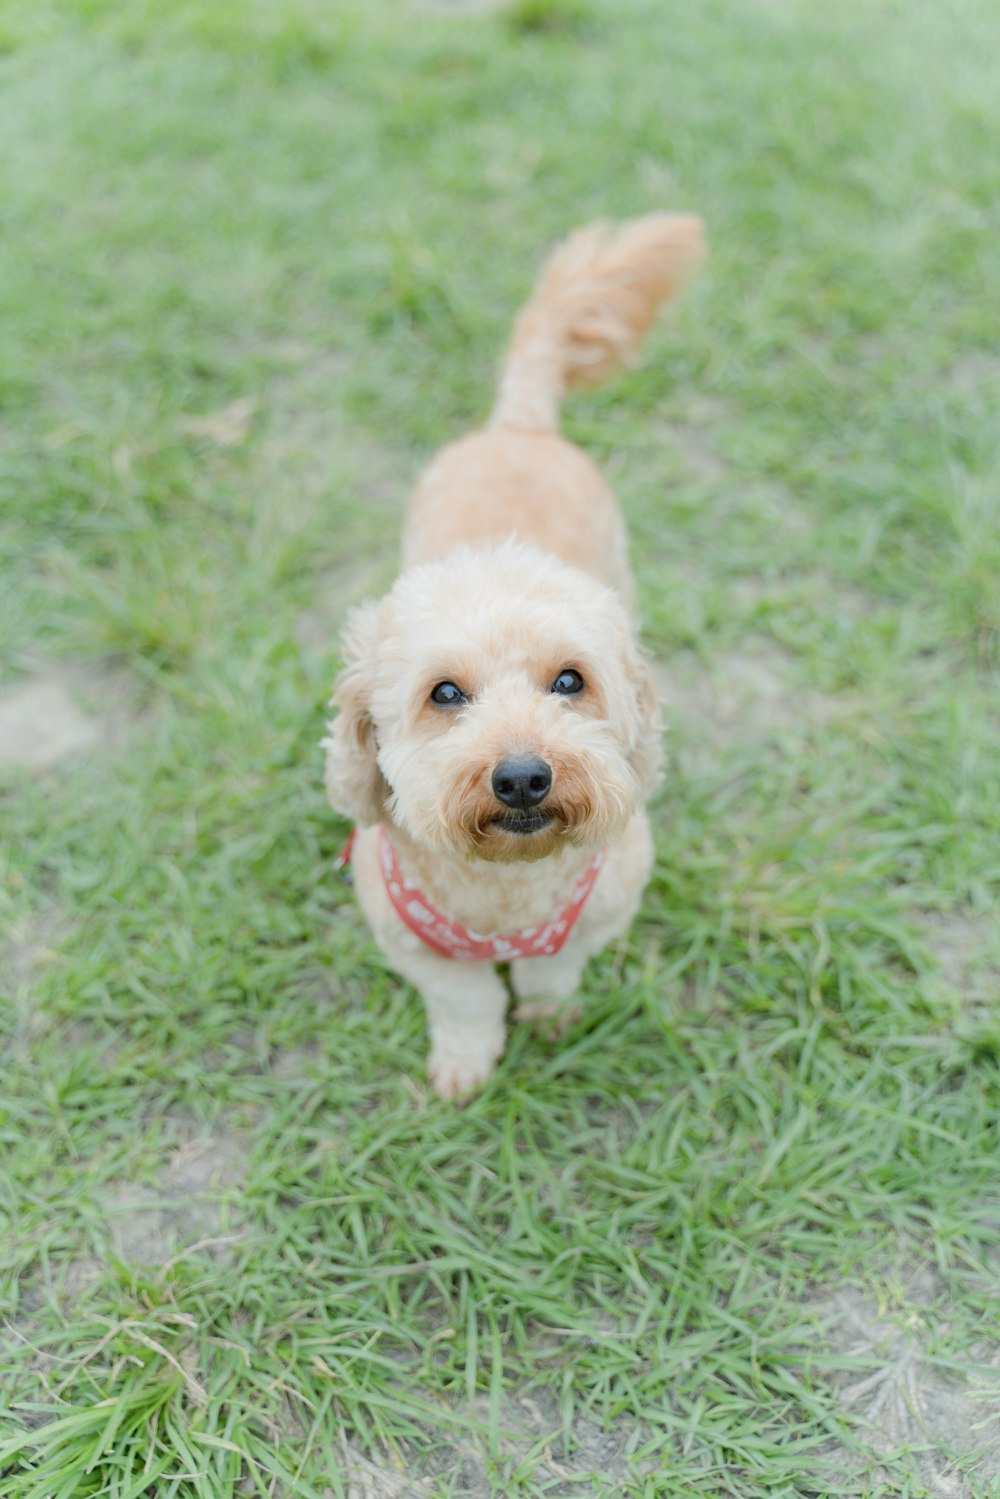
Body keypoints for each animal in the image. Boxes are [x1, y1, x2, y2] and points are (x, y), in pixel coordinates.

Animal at [326, 211, 704, 1097]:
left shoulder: (602, 910)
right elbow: (466, 1004)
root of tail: (519, 423)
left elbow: (549, 971)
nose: (525, 776)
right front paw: (465, 1067)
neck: (506, 889)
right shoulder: (416, 946)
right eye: (444, 693)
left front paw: (547, 1014)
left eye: (570, 680)